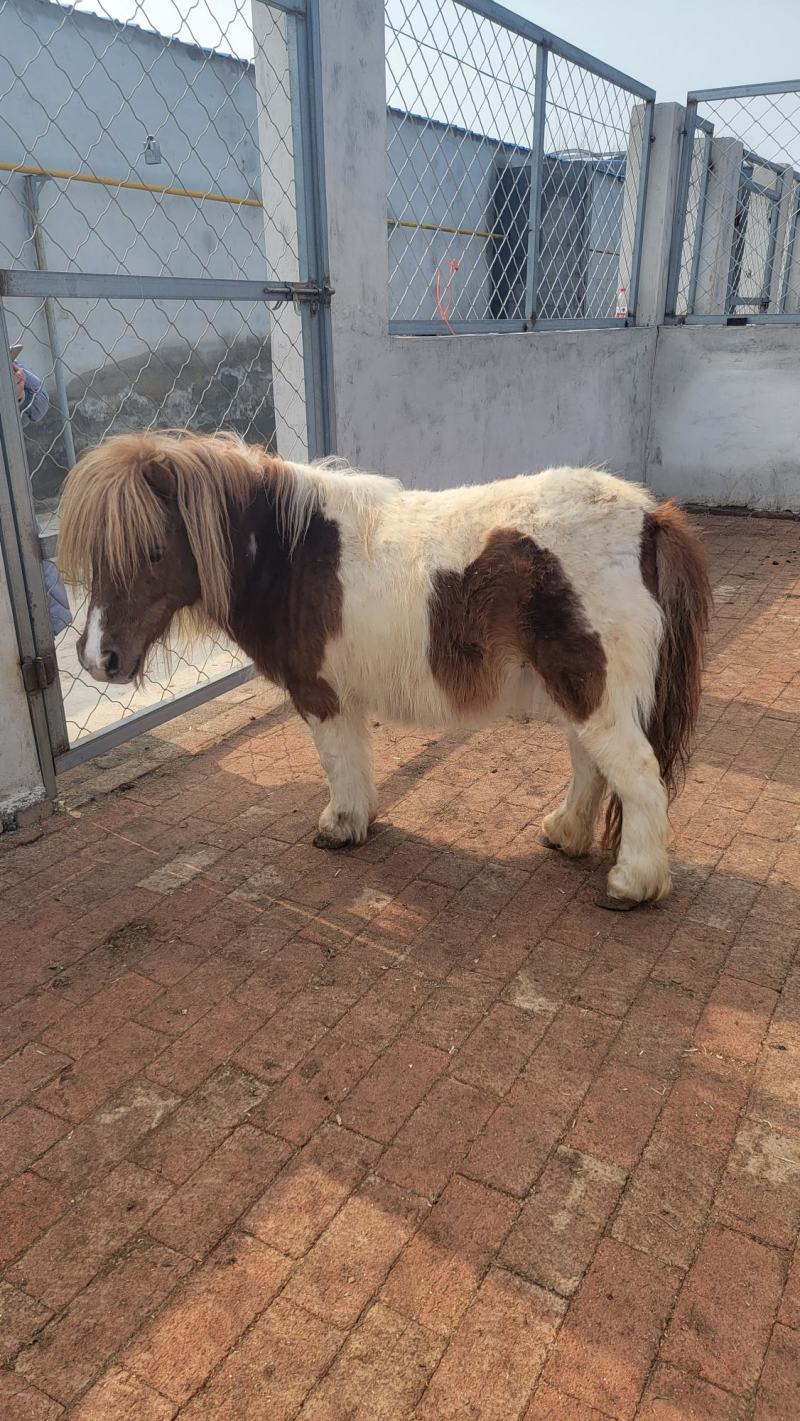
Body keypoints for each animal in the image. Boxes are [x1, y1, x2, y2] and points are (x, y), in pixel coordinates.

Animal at [57, 429, 711, 909]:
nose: (98, 658)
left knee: (635, 773)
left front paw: (341, 826)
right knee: (590, 764)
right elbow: (353, 758)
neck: (291, 554)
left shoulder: (320, 694)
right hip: (578, 688)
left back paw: (633, 883)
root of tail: (649, 519)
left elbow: (337, 761)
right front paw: (357, 818)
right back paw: (567, 834)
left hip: (591, 688)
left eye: (151, 551)